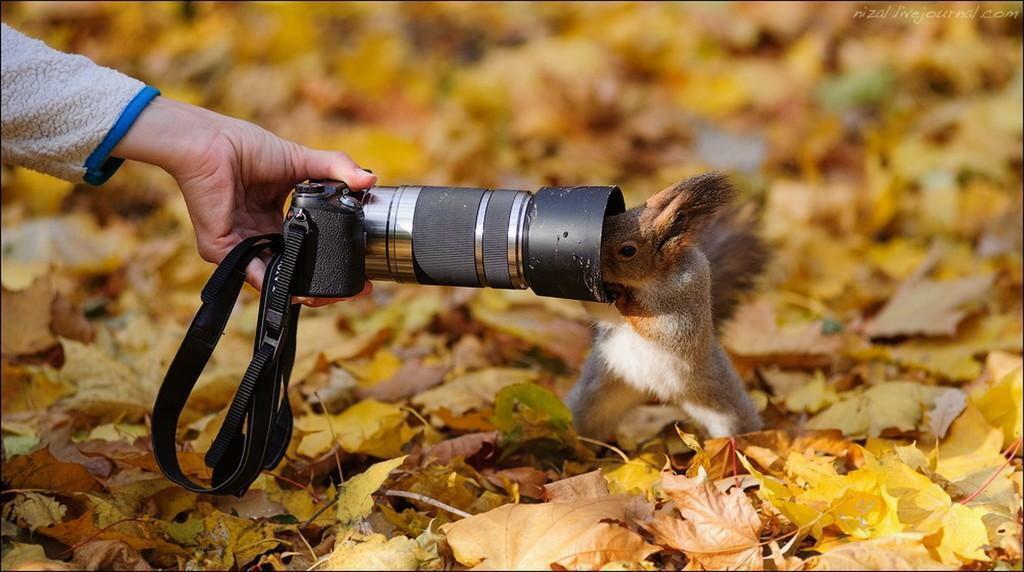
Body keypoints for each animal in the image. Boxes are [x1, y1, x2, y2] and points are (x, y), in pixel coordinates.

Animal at [569, 171, 770, 440]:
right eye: (610, 220)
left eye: (628, 250)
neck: (646, 282)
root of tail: (652, 389)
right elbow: (605, 315)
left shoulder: (685, 300)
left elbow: (667, 329)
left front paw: (628, 303)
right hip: (601, 392)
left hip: (718, 394)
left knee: (738, 423)